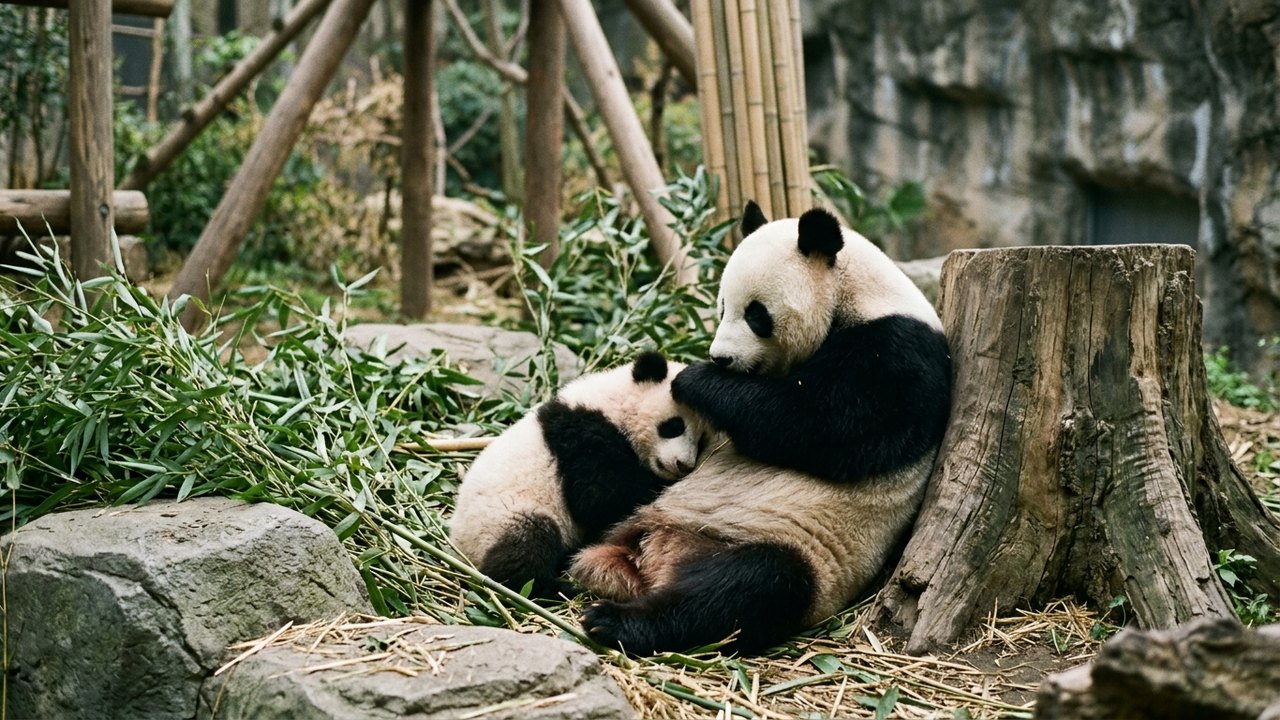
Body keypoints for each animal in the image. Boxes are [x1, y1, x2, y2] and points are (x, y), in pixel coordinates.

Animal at [449, 351, 710, 596]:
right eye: (675, 426)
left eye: (702, 441)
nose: (683, 465)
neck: (614, 403)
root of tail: (460, 547)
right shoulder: (581, 435)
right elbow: (599, 496)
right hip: (505, 517)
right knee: (525, 550)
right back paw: (557, 588)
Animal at [568, 203, 952, 654]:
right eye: (720, 307)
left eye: (756, 314)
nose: (720, 358)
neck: (857, 294)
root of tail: (650, 557)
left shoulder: (899, 356)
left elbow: (821, 425)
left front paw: (695, 380)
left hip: (787, 546)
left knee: (743, 589)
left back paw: (614, 621)